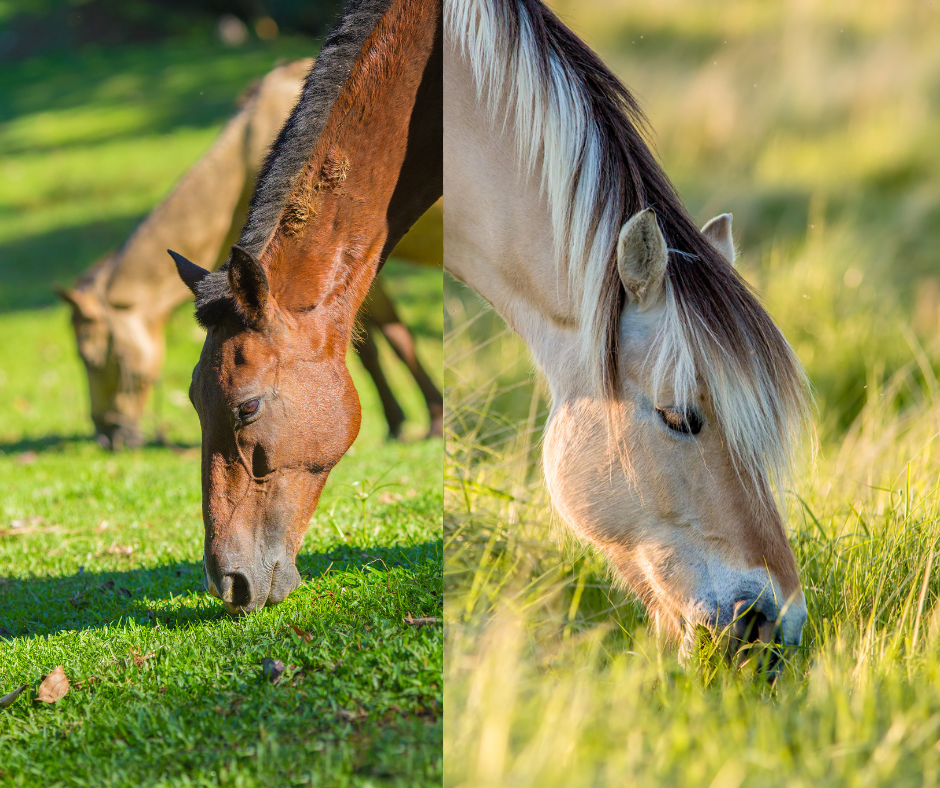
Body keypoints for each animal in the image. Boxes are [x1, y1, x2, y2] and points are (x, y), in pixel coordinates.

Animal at [56, 59, 442, 451]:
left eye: (92, 358)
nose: (108, 433)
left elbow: (391, 342)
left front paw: (426, 419)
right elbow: (375, 345)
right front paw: (404, 419)